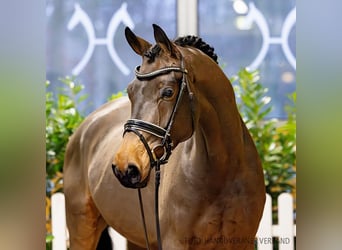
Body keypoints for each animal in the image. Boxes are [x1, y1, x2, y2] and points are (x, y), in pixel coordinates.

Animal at [65, 23, 268, 250]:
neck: (223, 171)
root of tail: (87, 125)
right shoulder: (174, 242)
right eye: (130, 91)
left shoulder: (243, 242)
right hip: (82, 228)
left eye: (168, 92)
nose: (125, 166)